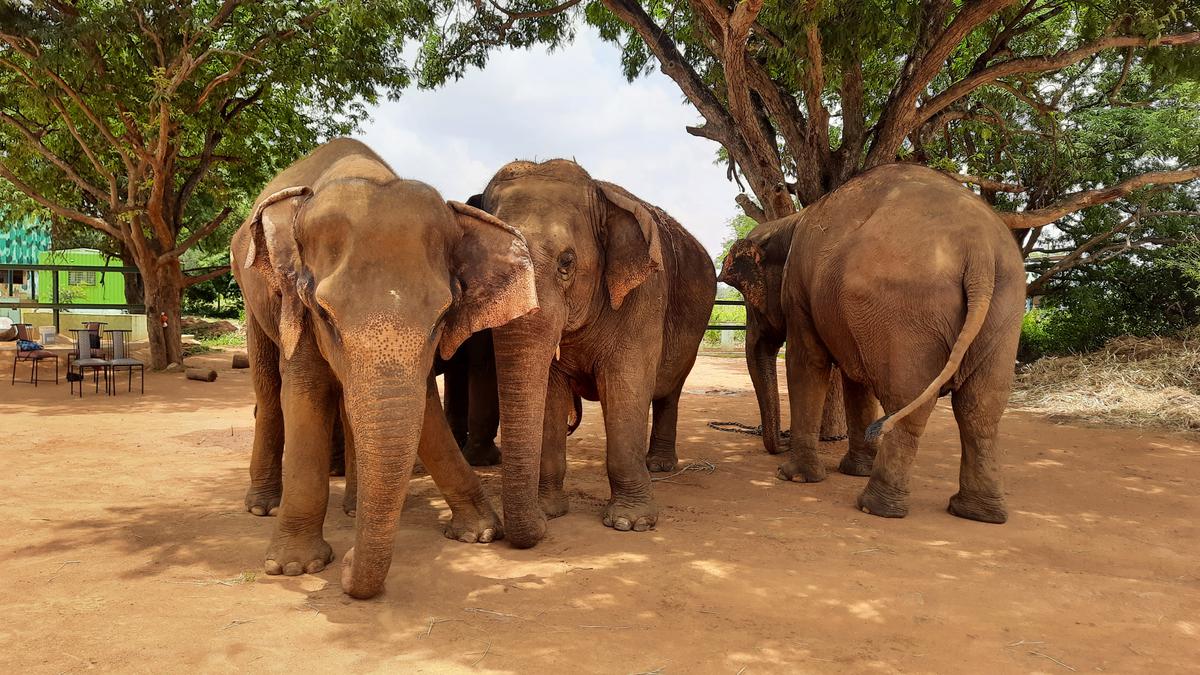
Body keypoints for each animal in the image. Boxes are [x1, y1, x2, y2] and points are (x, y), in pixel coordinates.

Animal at [230, 138, 540, 593]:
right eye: (324, 314)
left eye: (442, 317)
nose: (348, 564)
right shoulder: (295, 303)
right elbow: (305, 394)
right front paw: (294, 566)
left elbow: (425, 408)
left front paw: (480, 532)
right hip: (252, 289)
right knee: (269, 392)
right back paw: (262, 506)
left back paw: (352, 509)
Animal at [472, 158, 715, 547]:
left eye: (566, 262)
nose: (536, 527)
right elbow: (551, 393)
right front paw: (551, 512)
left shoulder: (644, 295)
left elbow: (626, 386)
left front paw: (631, 524)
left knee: (669, 391)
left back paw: (658, 466)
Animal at [715, 163, 1027, 521]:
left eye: (747, 300)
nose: (778, 444)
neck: (788, 222)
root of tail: (980, 251)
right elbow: (855, 379)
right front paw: (854, 469)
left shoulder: (798, 291)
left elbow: (806, 362)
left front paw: (794, 476)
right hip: (1005, 309)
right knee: (981, 409)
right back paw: (977, 513)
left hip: (905, 310)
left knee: (907, 403)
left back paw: (875, 506)